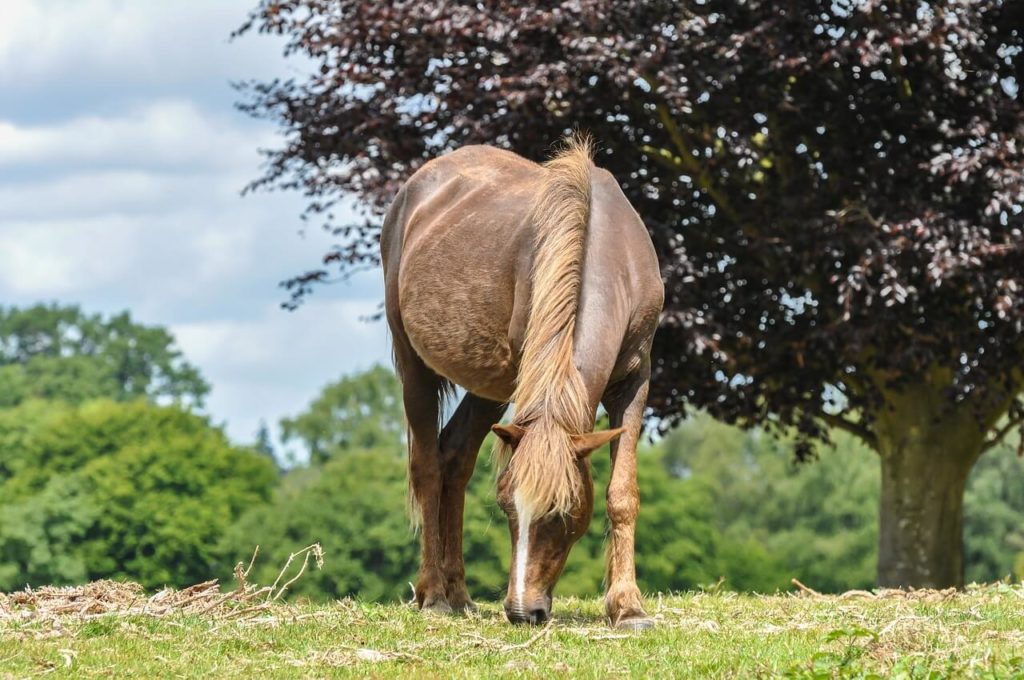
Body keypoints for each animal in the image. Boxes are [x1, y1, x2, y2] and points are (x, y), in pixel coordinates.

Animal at [381, 136, 663, 629]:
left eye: (562, 512)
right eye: (506, 507)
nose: (520, 611)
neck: (608, 253)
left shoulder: (635, 381)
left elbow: (622, 493)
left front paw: (628, 607)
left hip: (489, 389)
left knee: (455, 457)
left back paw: (459, 594)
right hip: (415, 366)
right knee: (428, 467)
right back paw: (434, 594)